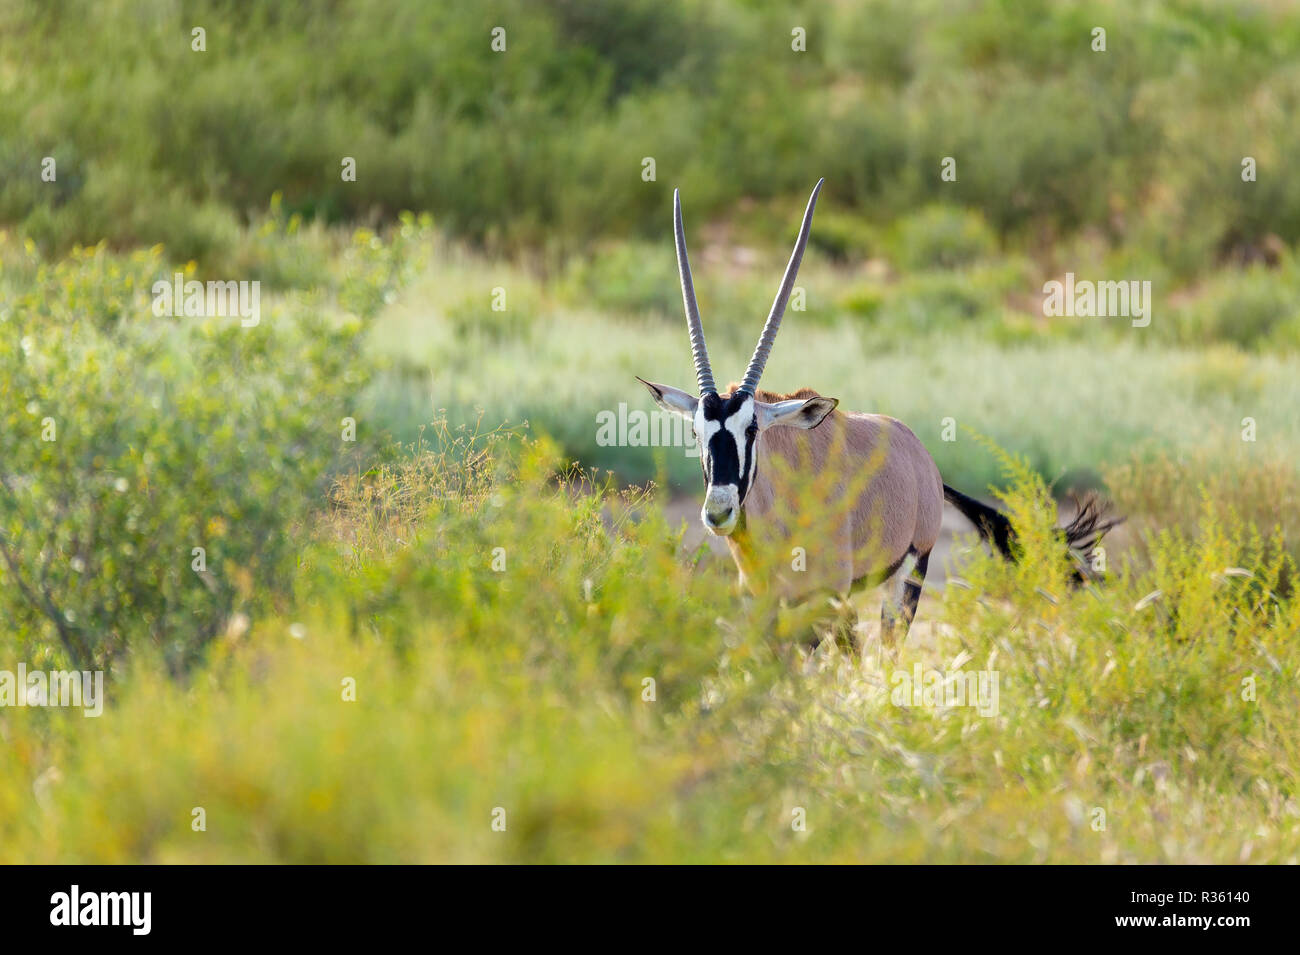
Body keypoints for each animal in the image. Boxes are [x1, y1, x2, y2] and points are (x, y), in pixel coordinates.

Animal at [638, 180, 1118, 644]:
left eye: (752, 429)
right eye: (696, 432)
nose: (718, 513)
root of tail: (922, 457)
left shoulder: (828, 598)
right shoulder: (763, 603)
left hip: (907, 578)